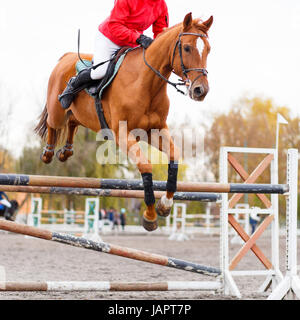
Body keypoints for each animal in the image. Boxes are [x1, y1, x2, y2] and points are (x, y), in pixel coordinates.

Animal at [35, 13, 213, 231]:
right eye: (187, 48)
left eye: (208, 49)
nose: (200, 90)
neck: (146, 83)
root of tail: (66, 57)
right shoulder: (122, 134)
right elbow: (146, 166)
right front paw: (150, 216)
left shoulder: (155, 130)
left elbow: (174, 156)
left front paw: (165, 204)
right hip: (57, 110)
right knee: (53, 123)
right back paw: (48, 153)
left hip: (80, 115)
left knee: (73, 123)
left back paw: (65, 152)